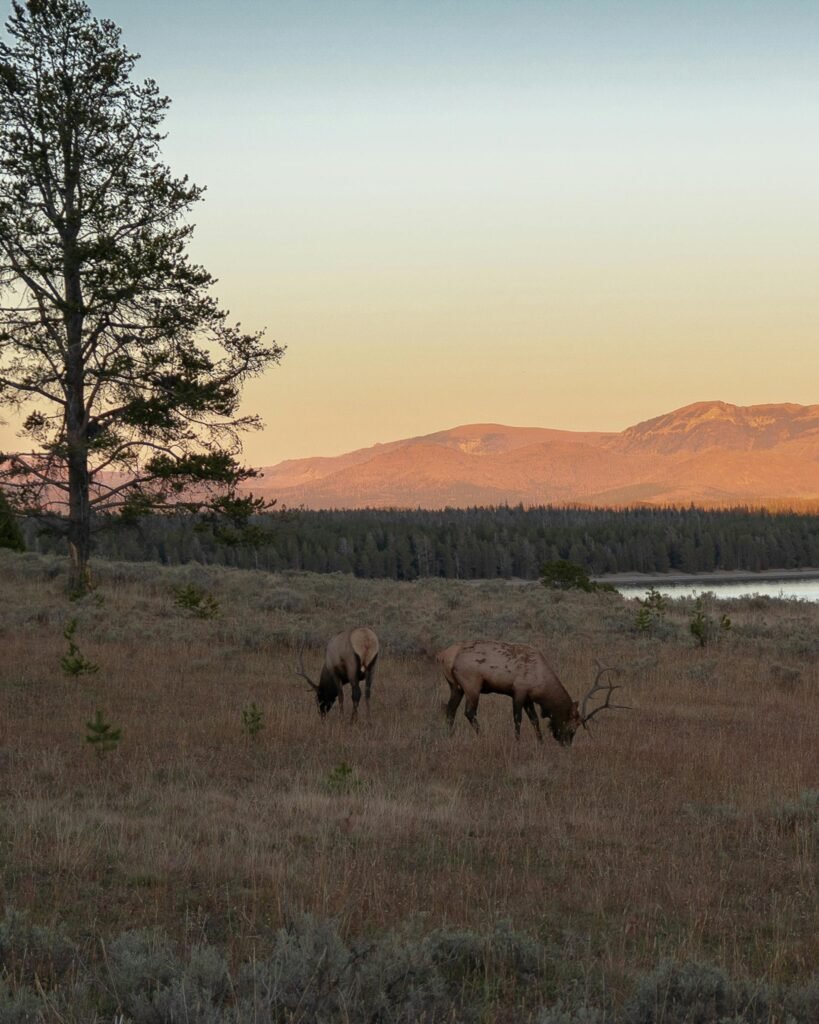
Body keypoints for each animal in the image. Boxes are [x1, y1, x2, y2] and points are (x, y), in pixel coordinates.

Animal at [436, 640, 628, 745]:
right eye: (572, 728)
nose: (566, 744)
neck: (541, 685)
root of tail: (445, 655)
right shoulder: (518, 691)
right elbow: (518, 719)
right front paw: (518, 741)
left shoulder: (529, 697)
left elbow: (534, 719)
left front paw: (540, 742)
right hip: (472, 684)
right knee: (469, 712)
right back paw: (482, 736)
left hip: (455, 686)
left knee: (450, 710)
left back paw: (448, 735)